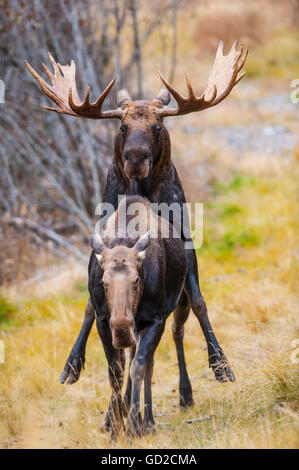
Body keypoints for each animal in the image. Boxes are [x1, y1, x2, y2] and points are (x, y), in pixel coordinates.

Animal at [25, 41, 247, 412]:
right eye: (122, 127)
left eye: (157, 126)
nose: (136, 157)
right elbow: (92, 310)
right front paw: (75, 366)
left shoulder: (186, 242)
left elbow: (199, 304)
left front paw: (220, 364)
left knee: (178, 330)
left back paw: (185, 391)